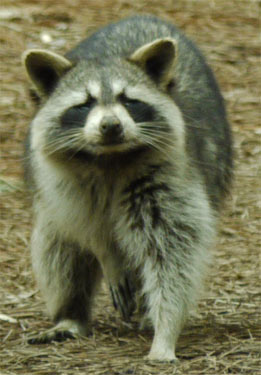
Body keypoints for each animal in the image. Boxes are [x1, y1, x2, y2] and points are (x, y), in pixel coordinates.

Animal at [22, 15, 232, 364]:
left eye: (129, 101)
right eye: (84, 104)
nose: (111, 126)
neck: (111, 158)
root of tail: (143, 17)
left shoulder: (170, 178)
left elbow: (173, 257)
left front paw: (165, 331)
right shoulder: (65, 183)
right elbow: (88, 229)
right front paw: (107, 255)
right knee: (58, 247)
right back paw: (71, 314)